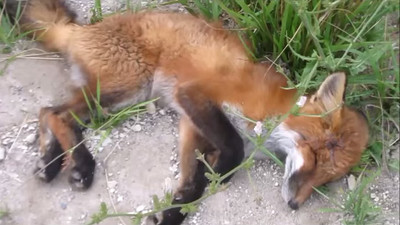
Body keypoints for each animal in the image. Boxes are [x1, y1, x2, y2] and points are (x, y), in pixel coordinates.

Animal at [4, 0, 370, 224]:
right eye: (317, 157)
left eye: (328, 179)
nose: (294, 205)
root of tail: (81, 29)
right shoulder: (195, 95)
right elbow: (231, 151)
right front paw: (218, 172)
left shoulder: (190, 125)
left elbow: (192, 183)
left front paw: (172, 211)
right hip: (125, 90)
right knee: (56, 114)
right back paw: (80, 165)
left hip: (111, 98)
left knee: (49, 113)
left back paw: (50, 163)